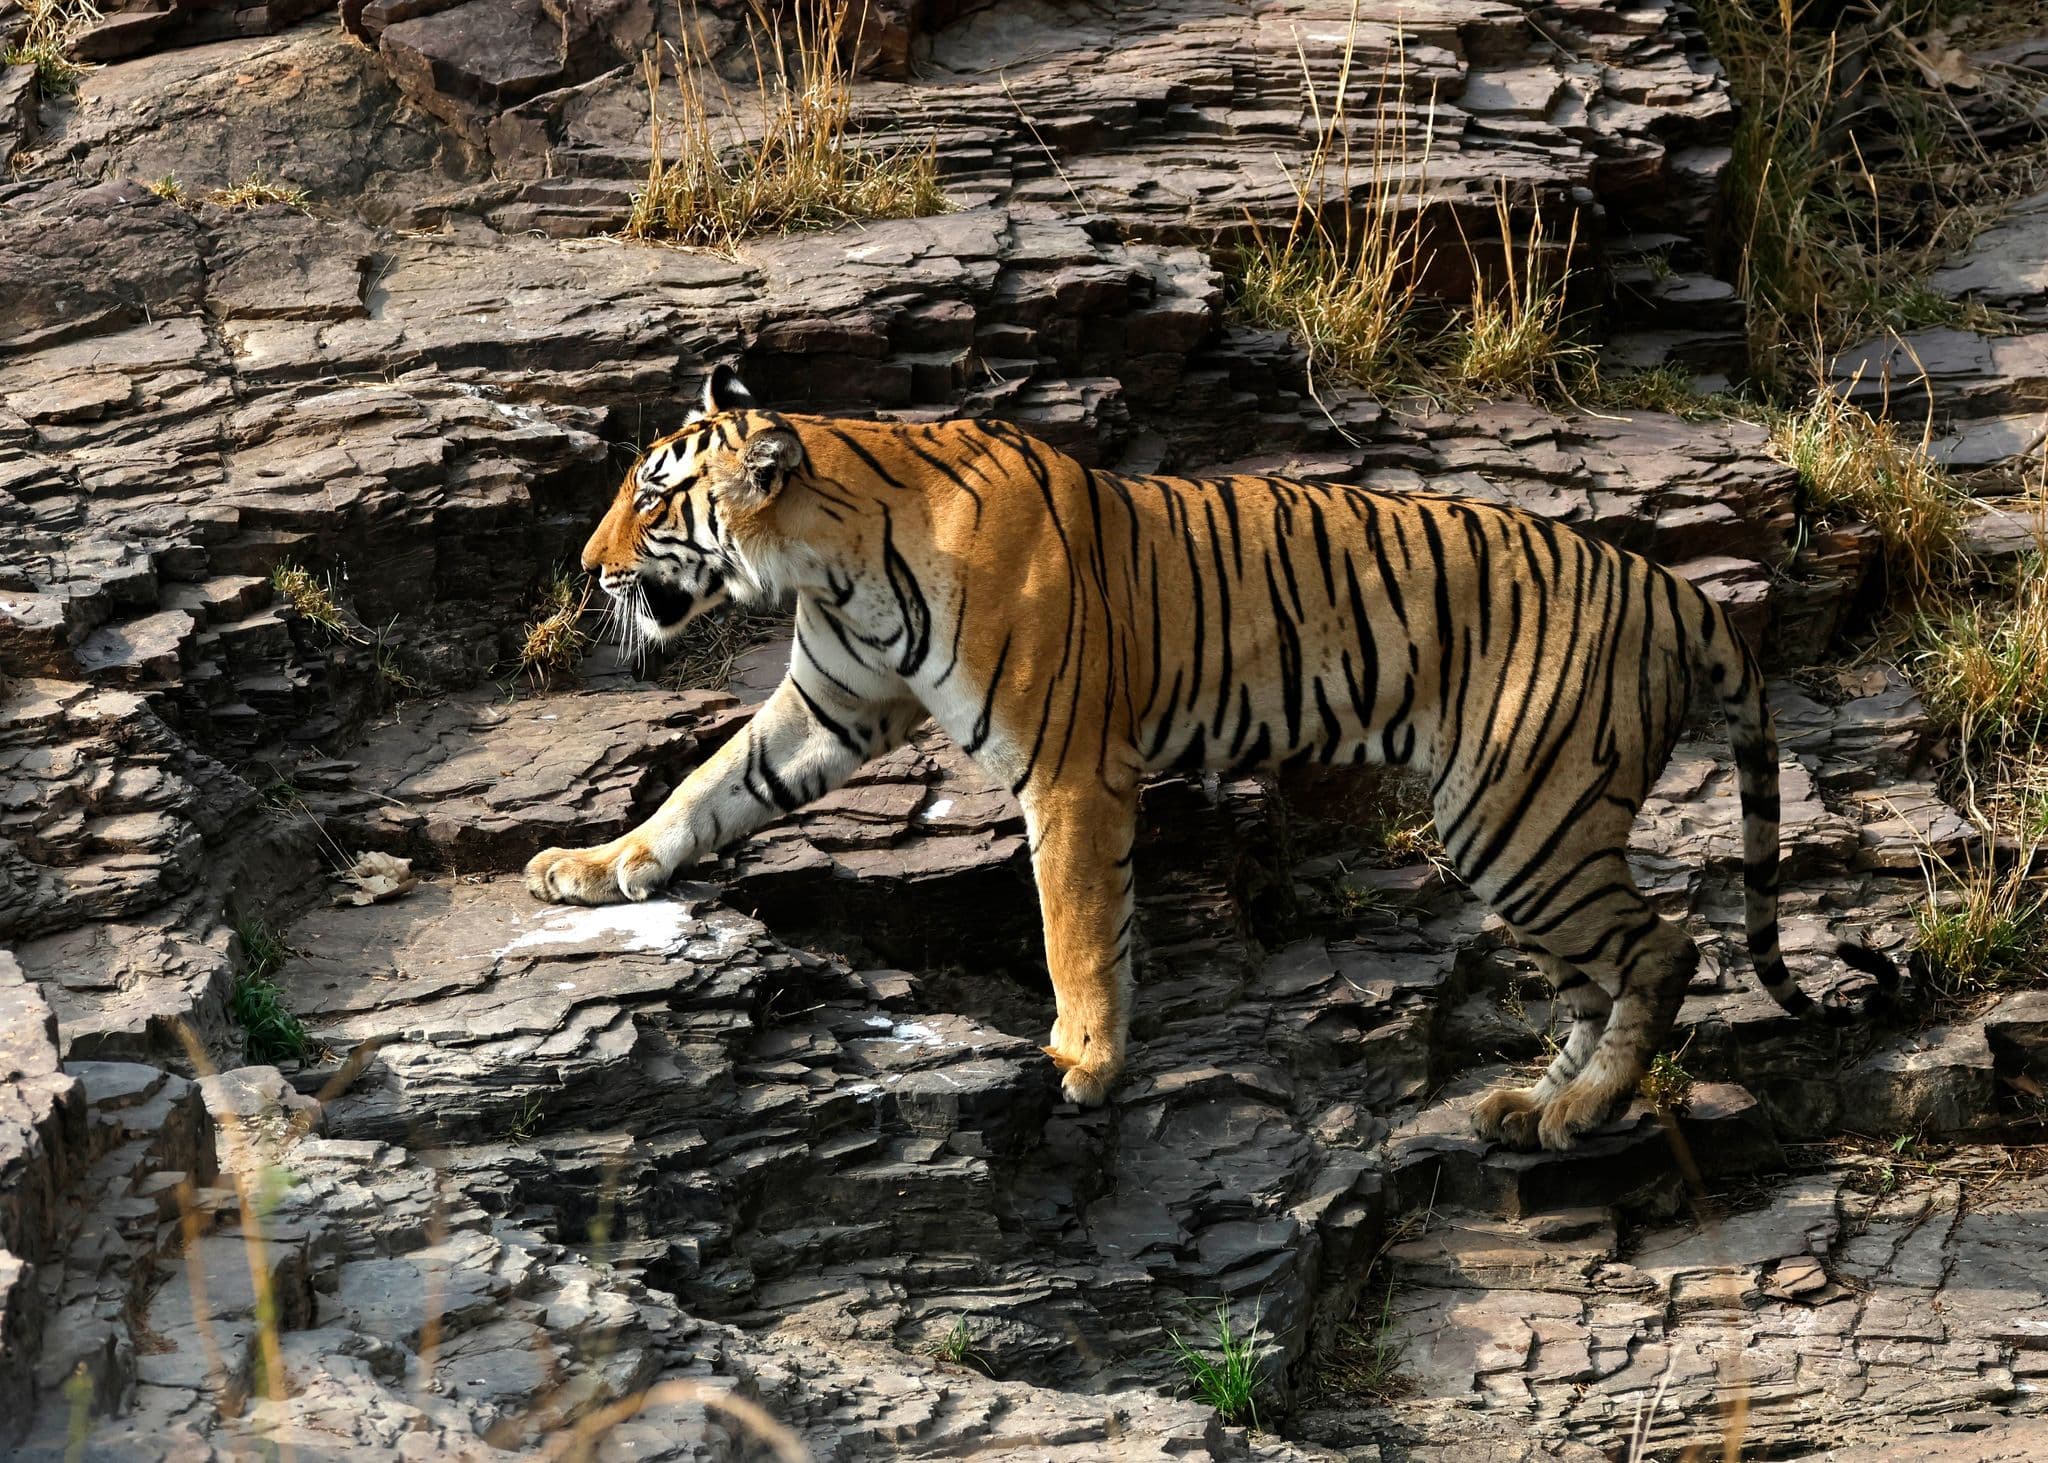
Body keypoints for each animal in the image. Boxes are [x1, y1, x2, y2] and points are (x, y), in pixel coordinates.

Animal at [525, 366, 1896, 1151]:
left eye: (653, 499)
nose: (585, 569)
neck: (831, 558)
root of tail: (1677, 593)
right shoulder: (826, 706)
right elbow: (705, 789)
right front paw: (591, 865)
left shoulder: (1070, 767)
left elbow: (1075, 922)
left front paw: (1082, 1060)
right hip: (1527, 829)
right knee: (1596, 969)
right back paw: (1529, 1103)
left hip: (1521, 814)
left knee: (1661, 945)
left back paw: (1581, 1107)